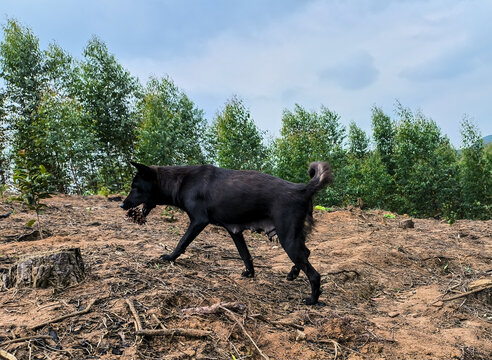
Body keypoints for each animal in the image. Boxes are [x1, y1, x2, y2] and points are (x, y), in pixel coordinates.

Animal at [121, 162, 332, 306]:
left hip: (288, 239)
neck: (180, 182)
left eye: (135, 187)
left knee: (314, 274)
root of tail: (302, 188)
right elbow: (245, 255)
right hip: (292, 237)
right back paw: (293, 273)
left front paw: (170, 257)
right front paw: (249, 273)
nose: (122, 204)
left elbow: (182, 243)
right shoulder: (234, 231)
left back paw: (312, 299)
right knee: (306, 253)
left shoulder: (198, 221)